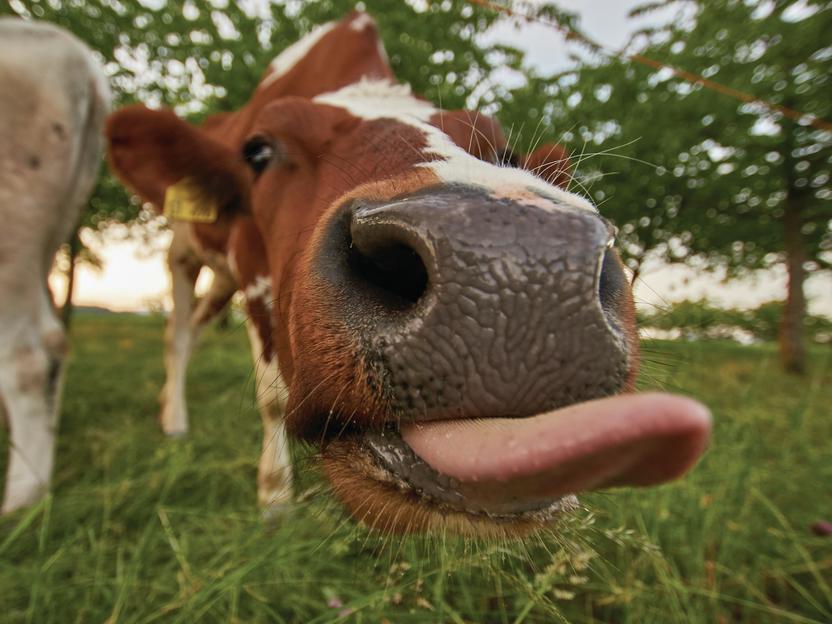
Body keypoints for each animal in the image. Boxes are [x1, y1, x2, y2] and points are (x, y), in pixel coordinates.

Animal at [107, 15, 711, 536]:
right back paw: (175, 420)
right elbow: (273, 396)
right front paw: (274, 499)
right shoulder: (251, 265)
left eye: (505, 152)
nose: (516, 271)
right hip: (184, 254)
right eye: (258, 151)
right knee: (178, 333)